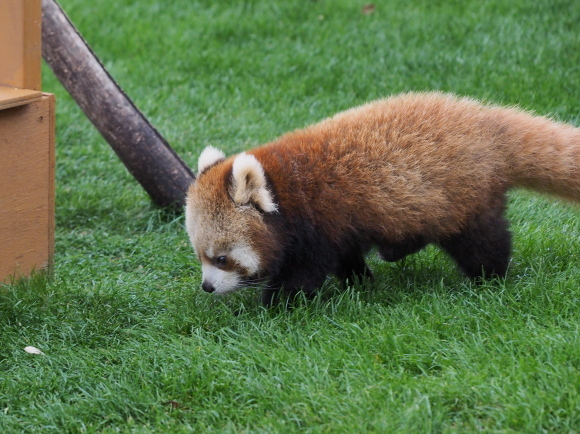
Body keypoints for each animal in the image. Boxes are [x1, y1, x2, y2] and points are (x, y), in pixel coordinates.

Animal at [186, 91, 580, 306]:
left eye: (221, 259)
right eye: (200, 255)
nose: (207, 287)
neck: (284, 186)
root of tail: (487, 123)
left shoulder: (318, 223)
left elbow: (303, 272)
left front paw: (275, 304)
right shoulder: (337, 227)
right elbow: (346, 257)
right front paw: (359, 282)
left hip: (464, 197)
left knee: (483, 243)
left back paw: (490, 278)